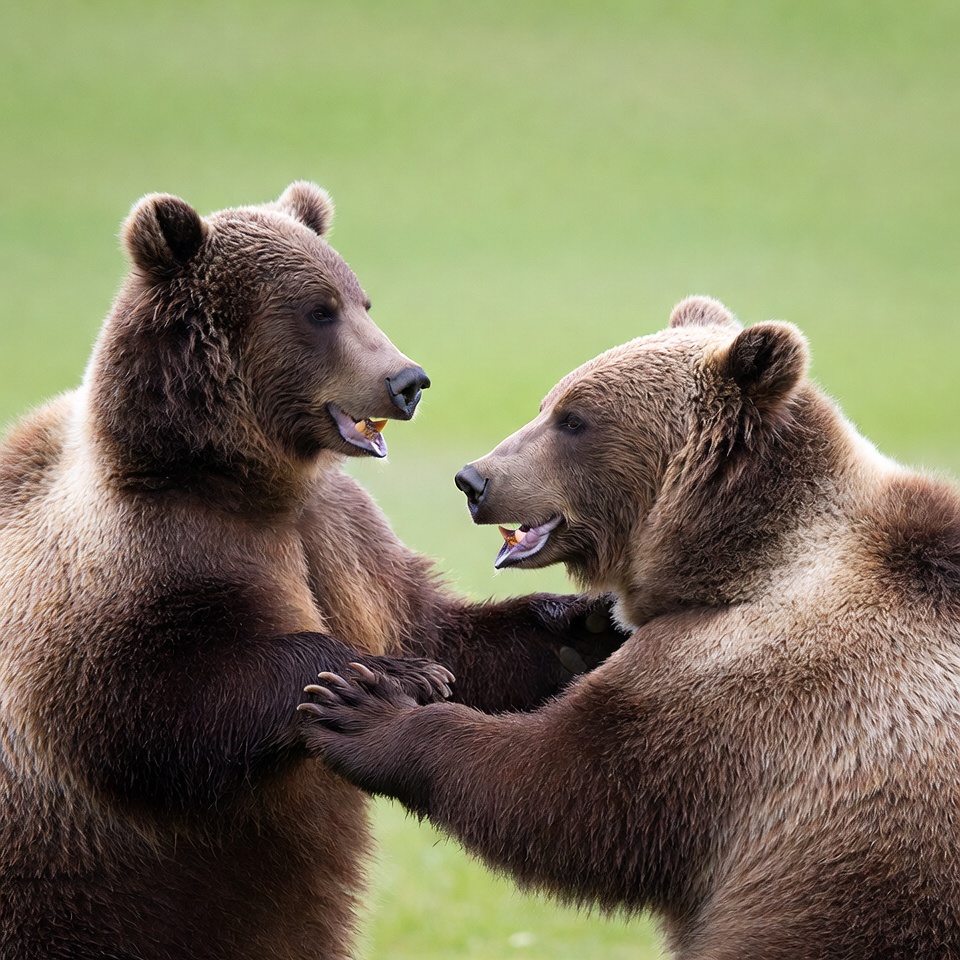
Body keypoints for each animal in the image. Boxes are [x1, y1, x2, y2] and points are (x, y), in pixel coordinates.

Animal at [0, 183, 625, 960]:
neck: (248, 480)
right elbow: (155, 700)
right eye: (318, 310)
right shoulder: (147, 553)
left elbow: (445, 634)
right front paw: (389, 676)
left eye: (363, 300)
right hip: (72, 890)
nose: (407, 380)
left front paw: (585, 627)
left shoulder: (341, 537)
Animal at [302, 296, 960, 959]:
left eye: (574, 420)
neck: (737, 563)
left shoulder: (748, 680)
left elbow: (568, 788)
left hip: (847, 907)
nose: (474, 480)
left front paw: (361, 707)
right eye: (546, 405)